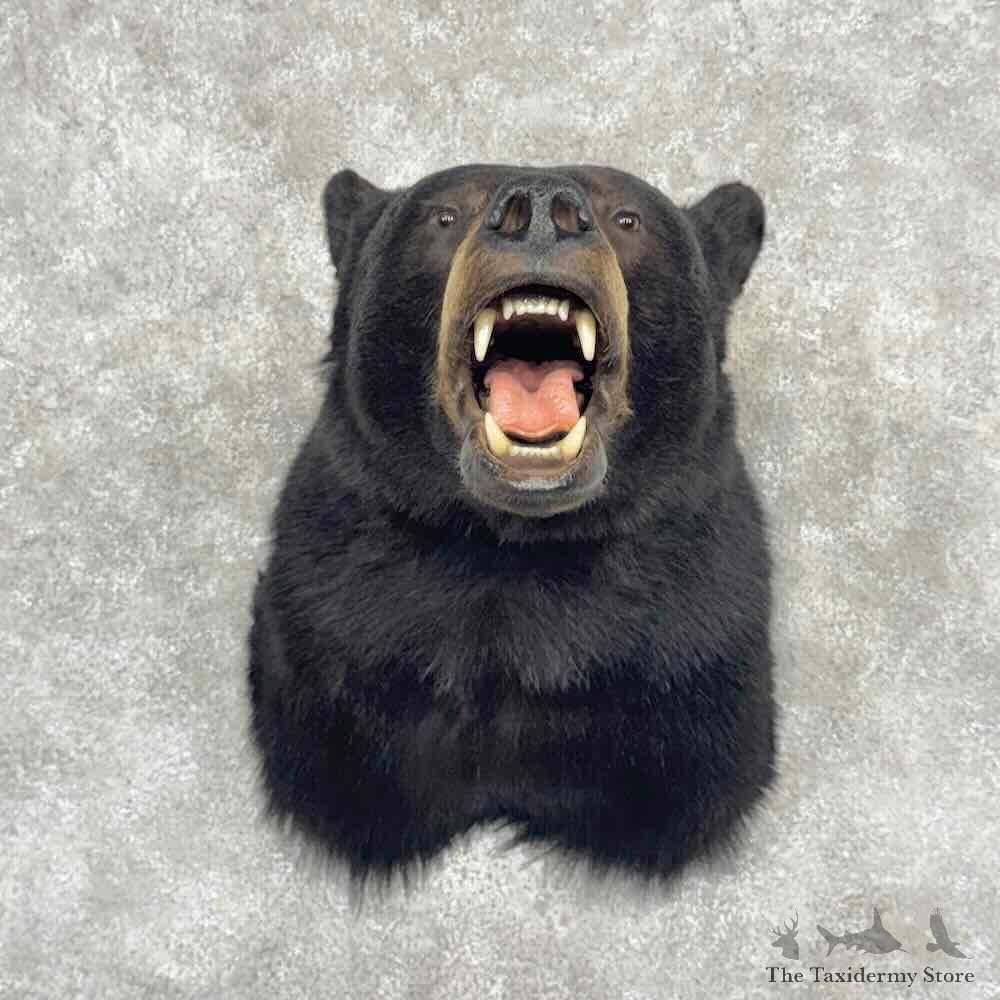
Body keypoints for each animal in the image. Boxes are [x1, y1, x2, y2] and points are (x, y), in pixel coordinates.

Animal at [247, 164, 775, 889]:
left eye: (628, 218)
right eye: (443, 217)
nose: (543, 211)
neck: (516, 550)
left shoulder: (691, 636)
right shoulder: (344, 627)